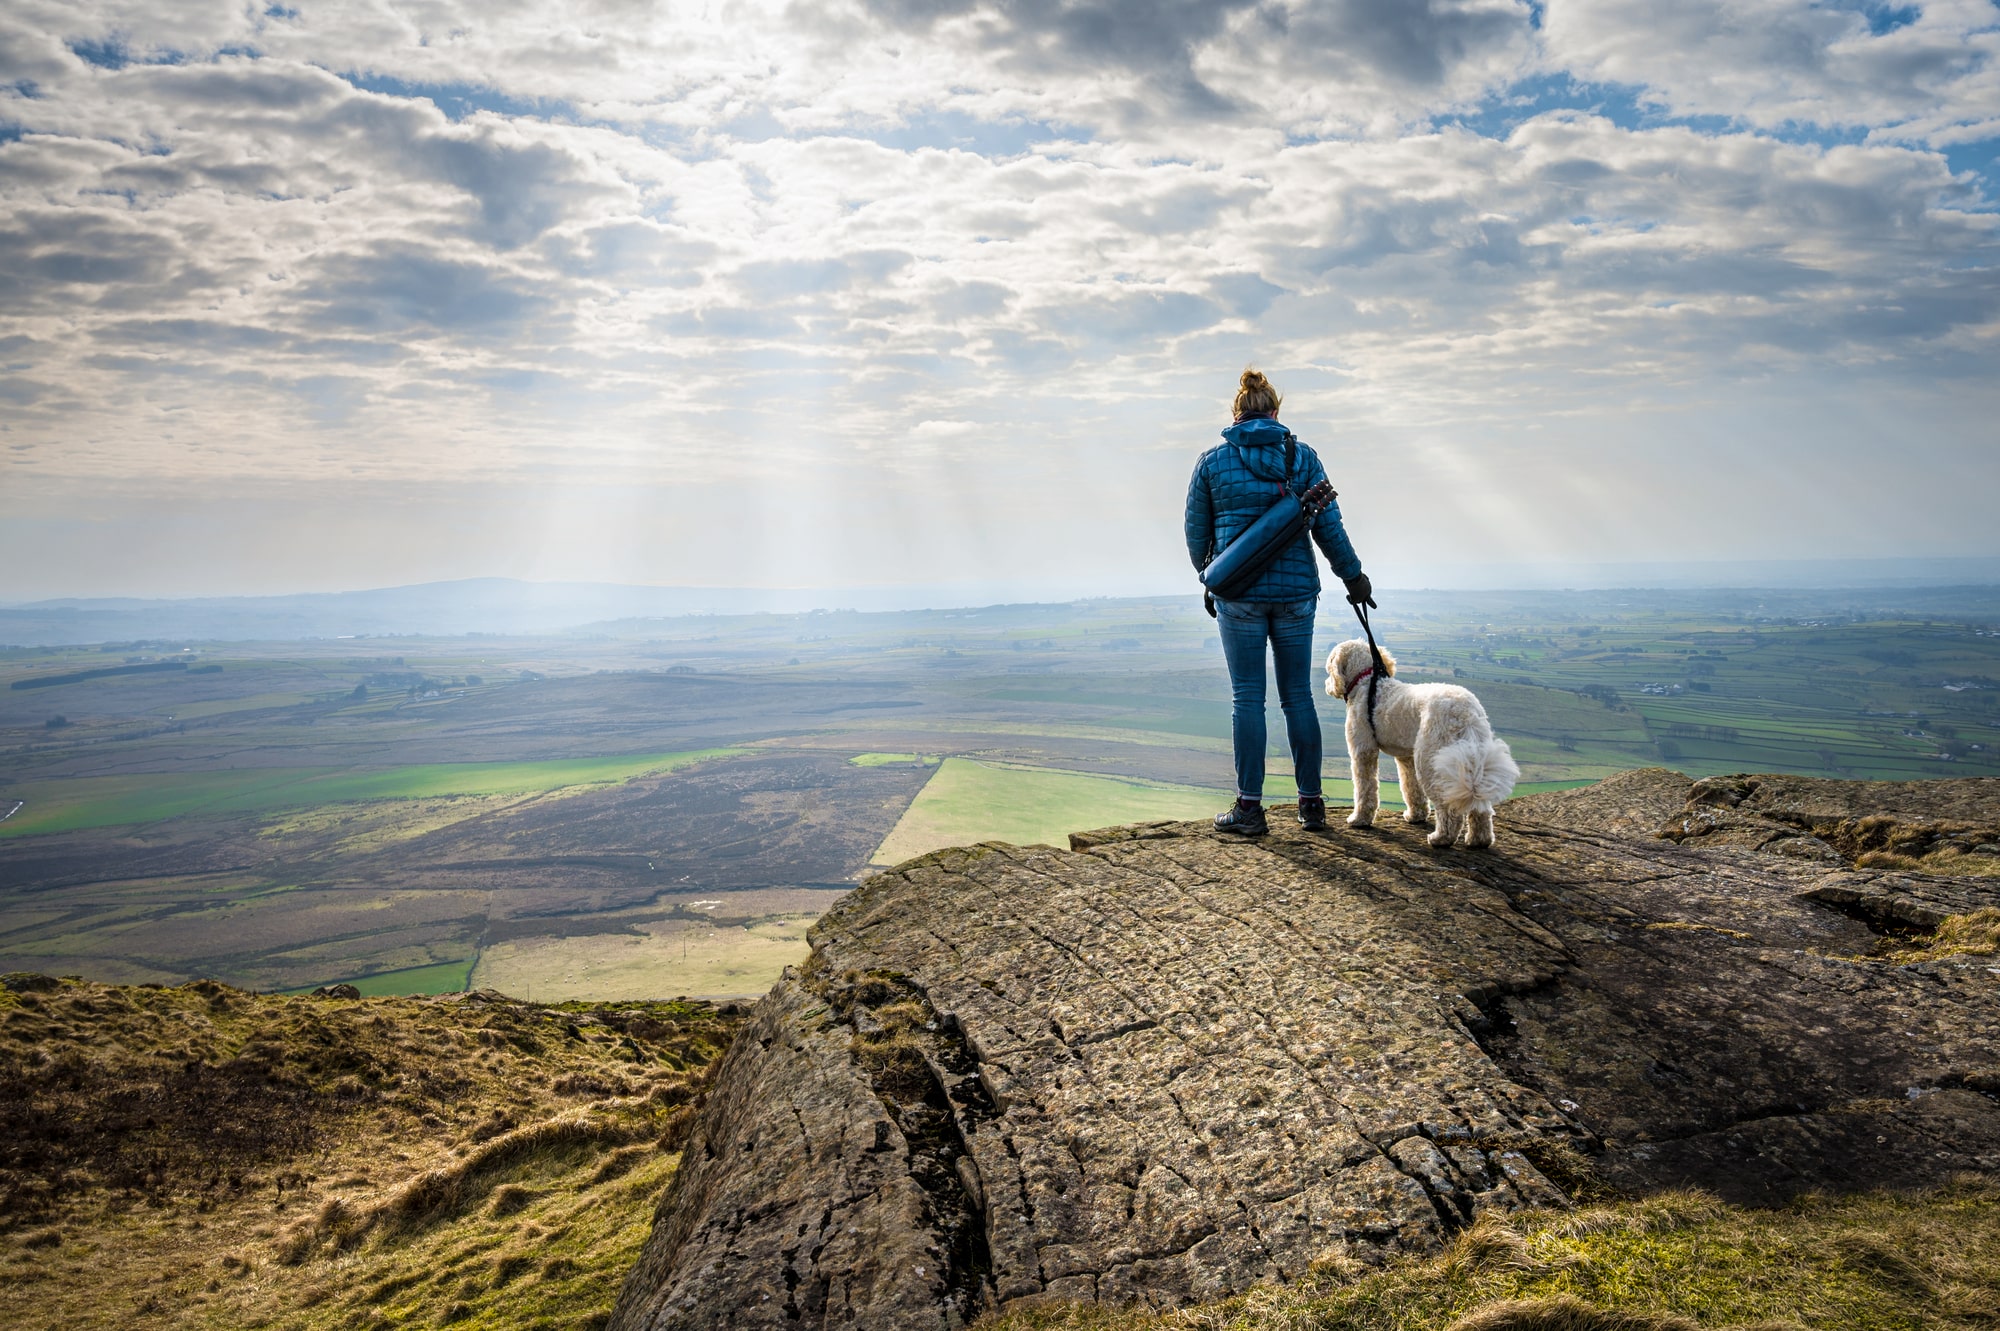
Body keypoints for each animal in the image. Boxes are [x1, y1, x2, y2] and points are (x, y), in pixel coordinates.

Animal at [1328, 639, 1512, 843]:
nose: (1327, 684)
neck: (1366, 682)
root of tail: (1465, 712)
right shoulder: (1406, 756)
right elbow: (1411, 786)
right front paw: (1416, 816)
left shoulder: (1363, 750)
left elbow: (1365, 787)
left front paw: (1359, 819)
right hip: (1471, 757)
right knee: (1480, 805)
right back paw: (1479, 840)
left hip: (1431, 759)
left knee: (1448, 805)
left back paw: (1441, 838)